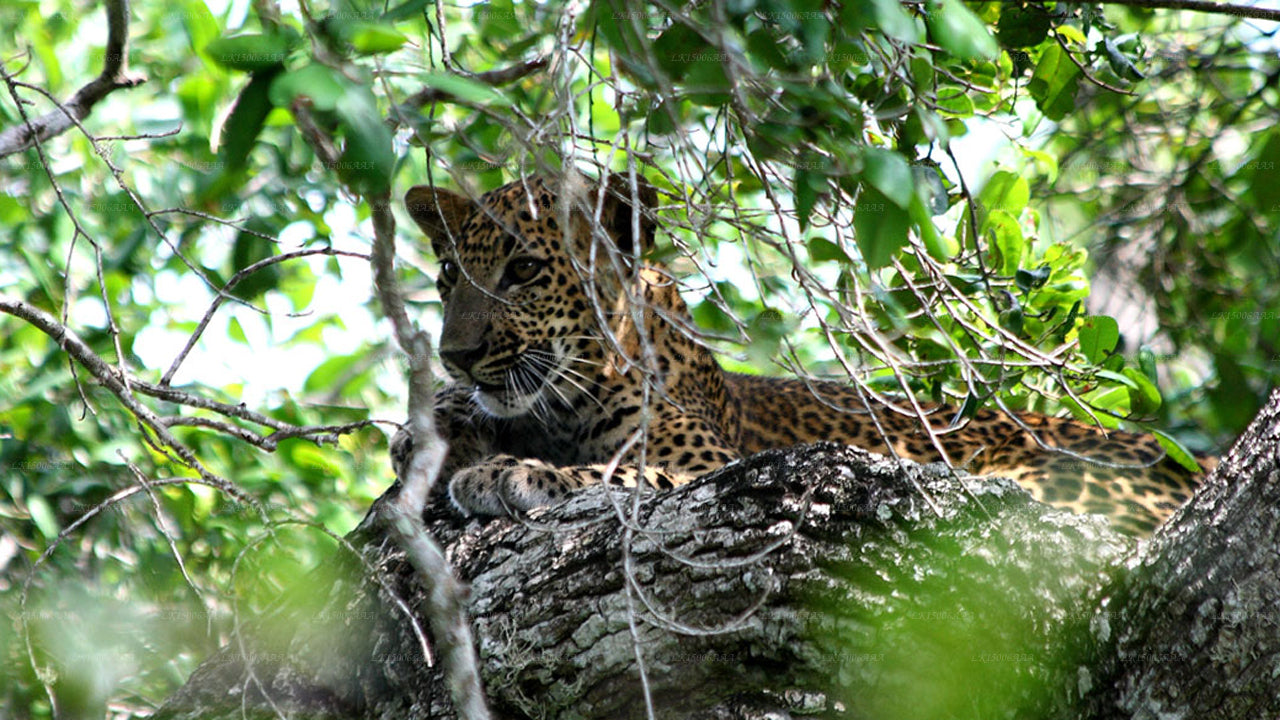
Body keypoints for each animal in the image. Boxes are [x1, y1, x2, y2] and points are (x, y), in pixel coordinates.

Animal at [394, 172, 1213, 532]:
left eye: (525, 271)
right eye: (448, 276)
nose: (456, 355)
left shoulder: (708, 465)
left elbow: (622, 473)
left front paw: (509, 474)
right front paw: (435, 427)